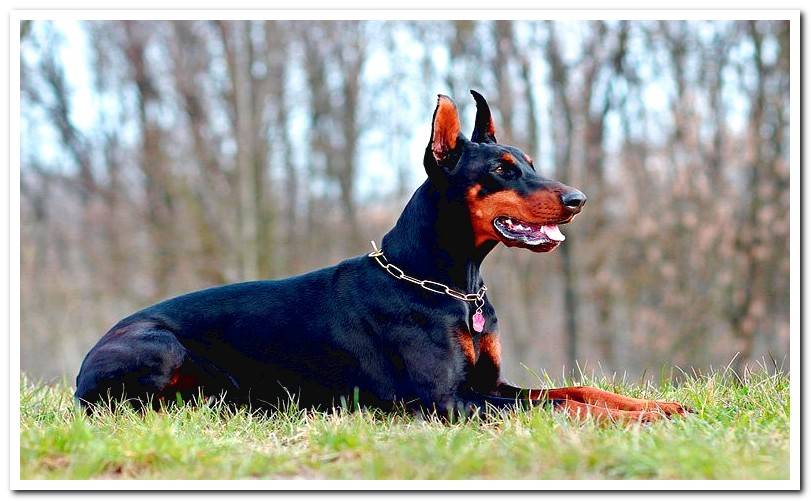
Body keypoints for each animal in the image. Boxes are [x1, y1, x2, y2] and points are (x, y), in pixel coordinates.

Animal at [73, 91, 688, 422]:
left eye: (530, 163)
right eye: (501, 170)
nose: (579, 199)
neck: (447, 286)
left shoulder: (488, 386)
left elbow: (577, 391)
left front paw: (657, 407)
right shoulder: (446, 401)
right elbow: (562, 407)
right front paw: (642, 419)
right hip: (160, 344)